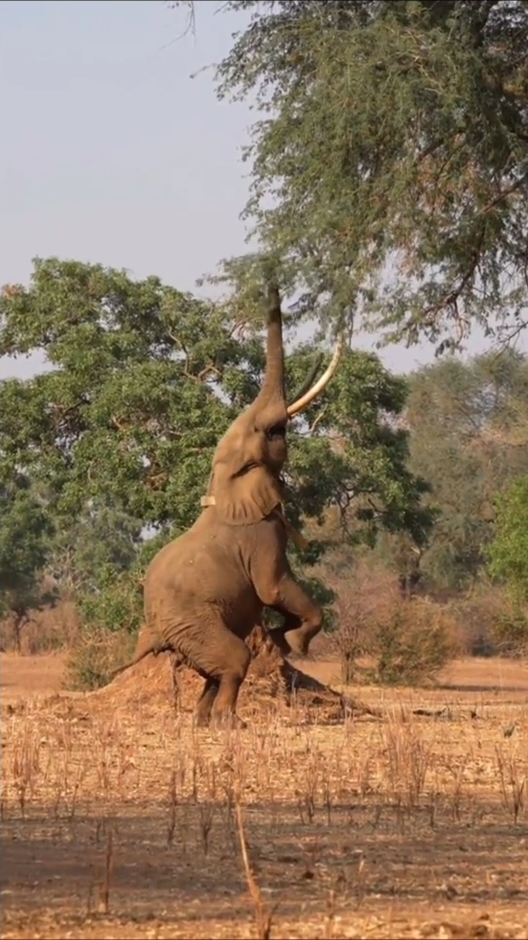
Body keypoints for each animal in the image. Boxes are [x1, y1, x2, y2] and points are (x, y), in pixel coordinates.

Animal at [110, 281, 342, 728]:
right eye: (274, 432)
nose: (272, 283)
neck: (223, 483)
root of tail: (154, 631)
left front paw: (281, 637)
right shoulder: (262, 536)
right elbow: (274, 587)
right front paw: (292, 640)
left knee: (213, 672)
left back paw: (203, 722)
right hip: (195, 624)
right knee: (235, 660)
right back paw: (228, 723)